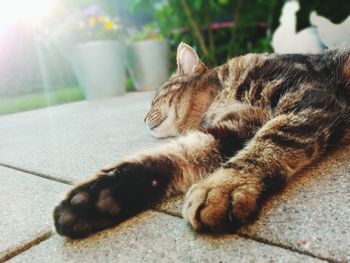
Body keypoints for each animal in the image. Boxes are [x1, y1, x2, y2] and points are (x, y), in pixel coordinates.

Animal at [53, 41, 350, 239]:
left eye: (154, 100)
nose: (144, 117)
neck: (221, 94)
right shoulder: (232, 130)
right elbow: (174, 155)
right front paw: (99, 197)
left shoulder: (307, 96)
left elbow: (267, 143)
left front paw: (223, 186)